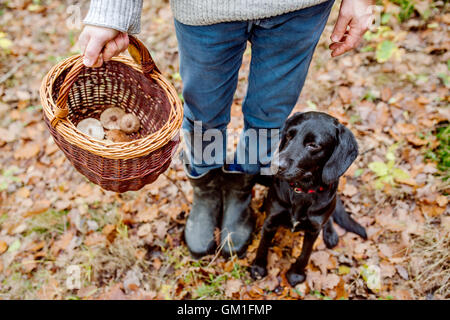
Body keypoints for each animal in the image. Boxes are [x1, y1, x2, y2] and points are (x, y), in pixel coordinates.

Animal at [251, 111, 368, 286]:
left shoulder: (313, 230)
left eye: (313, 145)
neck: (302, 191)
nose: (276, 164)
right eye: (289, 135)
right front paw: (258, 268)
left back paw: (331, 233)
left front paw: (296, 274)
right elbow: (263, 245)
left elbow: (305, 253)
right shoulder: (270, 221)